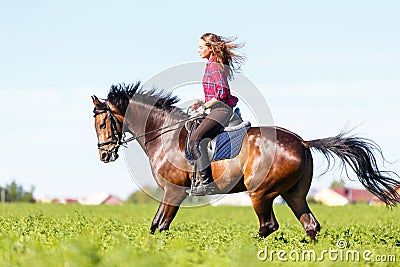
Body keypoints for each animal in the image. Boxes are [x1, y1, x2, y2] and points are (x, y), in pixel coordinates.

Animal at [92, 82, 400, 240]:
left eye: (102, 124)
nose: (105, 155)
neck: (165, 133)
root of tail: (302, 142)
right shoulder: (171, 192)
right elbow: (155, 226)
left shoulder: (174, 191)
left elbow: (160, 226)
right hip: (293, 193)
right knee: (310, 225)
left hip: (260, 192)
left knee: (268, 226)